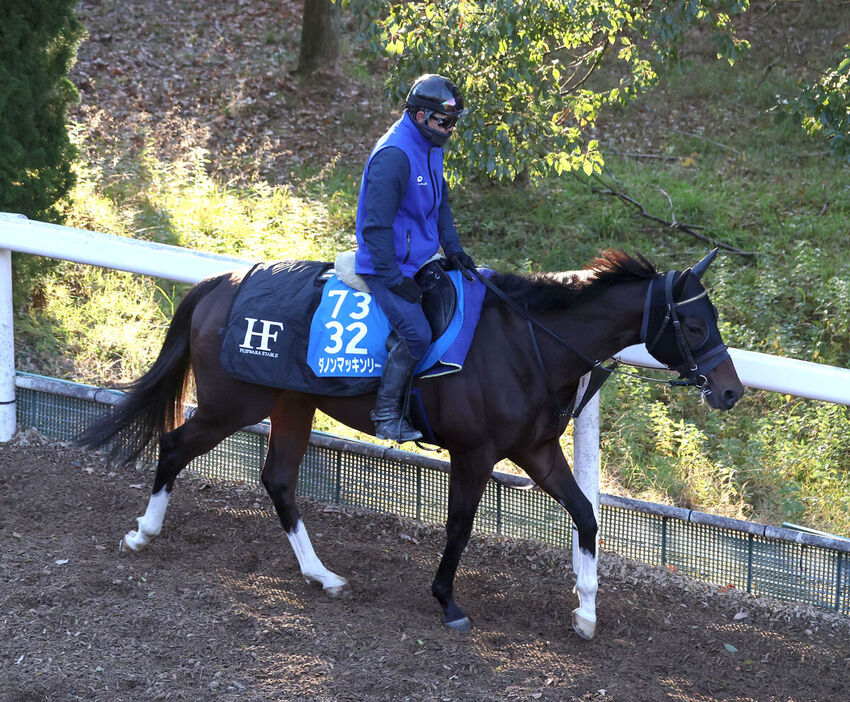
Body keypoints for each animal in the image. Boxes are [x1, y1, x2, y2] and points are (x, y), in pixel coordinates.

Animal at [79, 250, 744, 640]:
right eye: (692, 323)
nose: (732, 390)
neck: (527, 341)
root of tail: (220, 281)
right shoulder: (475, 454)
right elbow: (460, 527)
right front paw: (447, 600)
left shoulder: (536, 451)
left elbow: (584, 515)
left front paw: (585, 610)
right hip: (233, 403)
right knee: (174, 445)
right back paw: (144, 532)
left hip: (292, 403)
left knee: (279, 480)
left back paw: (323, 576)